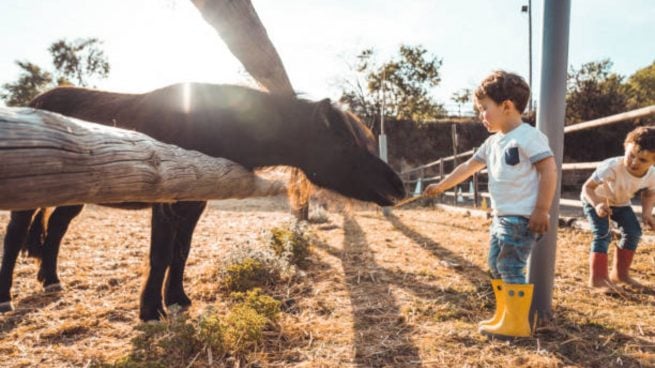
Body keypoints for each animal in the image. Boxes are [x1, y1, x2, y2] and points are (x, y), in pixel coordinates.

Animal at [0, 82, 404, 320]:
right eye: (346, 143)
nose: (397, 186)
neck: (210, 123)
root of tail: (36, 102)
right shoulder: (167, 199)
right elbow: (161, 254)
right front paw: (151, 310)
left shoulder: (196, 203)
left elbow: (181, 252)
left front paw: (177, 299)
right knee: (16, 236)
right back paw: (6, 297)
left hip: (76, 196)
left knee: (55, 229)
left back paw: (51, 280)